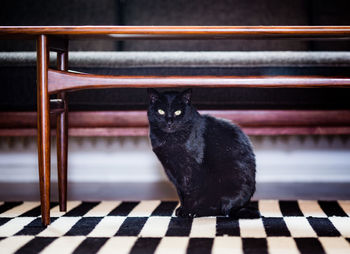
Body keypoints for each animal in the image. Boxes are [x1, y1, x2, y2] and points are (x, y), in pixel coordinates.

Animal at [146, 88, 256, 217]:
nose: (169, 121)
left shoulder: (192, 169)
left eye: (178, 112)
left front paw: (188, 212)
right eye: (161, 111)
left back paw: (201, 211)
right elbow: (181, 192)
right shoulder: (172, 169)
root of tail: (243, 206)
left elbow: (191, 192)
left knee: (223, 209)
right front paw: (183, 209)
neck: (171, 141)